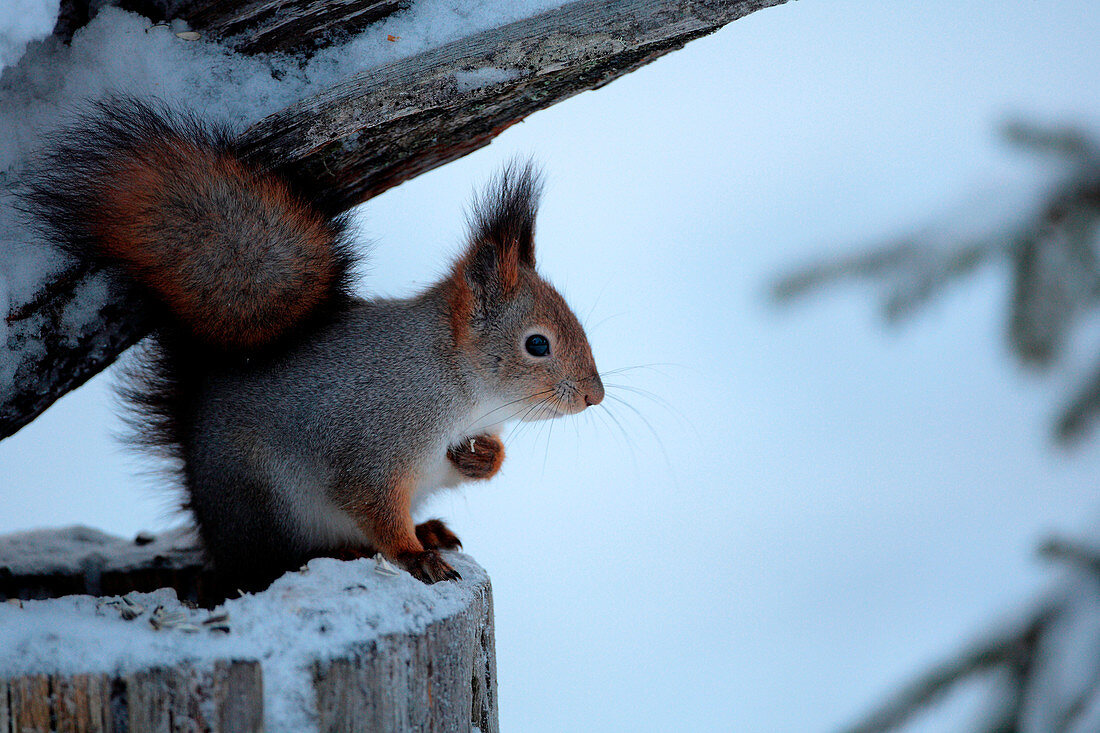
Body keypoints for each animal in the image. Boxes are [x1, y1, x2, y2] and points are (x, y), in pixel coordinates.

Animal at [25, 98, 607, 589]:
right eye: (538, 345)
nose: (593, 396)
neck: (456, 380)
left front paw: (484, 457)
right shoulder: (376, 442)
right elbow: (373, 504)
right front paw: (413, 556)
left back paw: (431, 528)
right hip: (267, 504)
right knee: (276, 560)